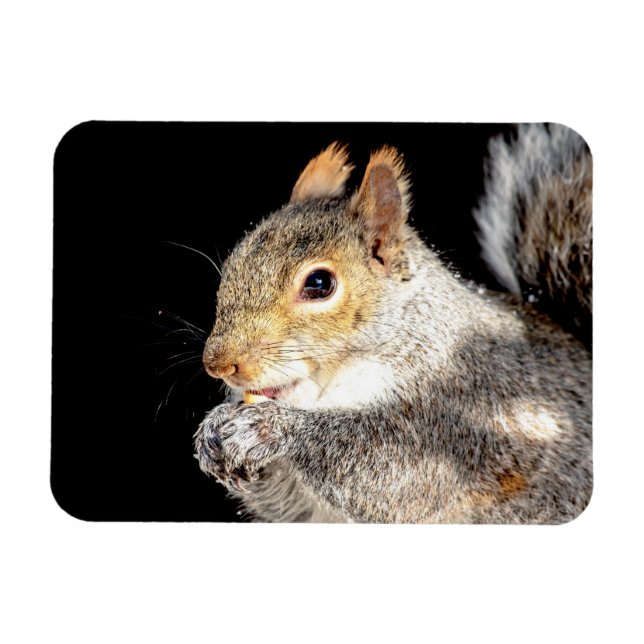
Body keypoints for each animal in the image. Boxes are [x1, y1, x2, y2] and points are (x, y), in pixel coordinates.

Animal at [194, 124, 592, 524]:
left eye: (320, 283)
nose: (218, 364)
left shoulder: (456, 416)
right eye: (233, 264)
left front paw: (265, 429)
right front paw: (213, 432)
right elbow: (287, 502)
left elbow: (393, 473)